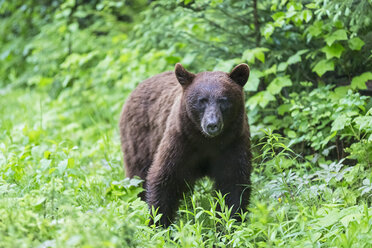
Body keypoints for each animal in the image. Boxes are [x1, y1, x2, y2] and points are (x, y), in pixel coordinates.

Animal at [119, 63, 253, 227]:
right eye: (202, 100)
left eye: (223, 100)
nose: (212, 124)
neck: (207, 141)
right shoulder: (181, 142)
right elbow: (164, 178)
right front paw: (159, 223)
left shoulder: (233, 143)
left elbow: (233, 184)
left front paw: (230, 223)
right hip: (140, 139)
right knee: (138, 176)